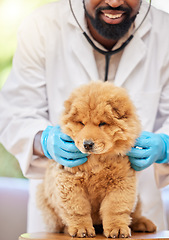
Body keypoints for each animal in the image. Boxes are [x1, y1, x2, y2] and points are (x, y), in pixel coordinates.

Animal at [36, 81, 156, 238]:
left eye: (102, 123)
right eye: (81, 123)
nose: (87, 144)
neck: (97, 161)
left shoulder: (121, 182)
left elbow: (115, 208)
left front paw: (117, 229)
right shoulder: (70, 181)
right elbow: (78, 209)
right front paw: (82, 229)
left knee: (135, 215)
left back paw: (144, 223)